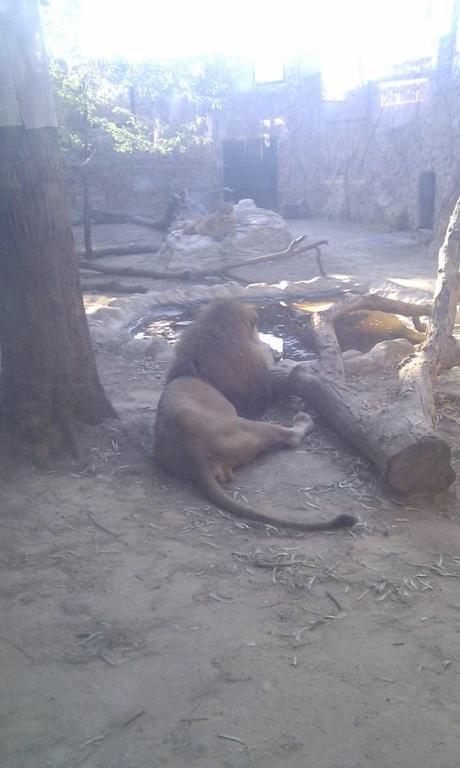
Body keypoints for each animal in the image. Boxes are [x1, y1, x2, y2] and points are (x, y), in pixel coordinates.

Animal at [154, 300, 356, 533]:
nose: (273, 349)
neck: (195, 366)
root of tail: (195, 454)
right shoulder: (255, 394)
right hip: (252, 426)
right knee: (290, 437)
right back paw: (304, 420)